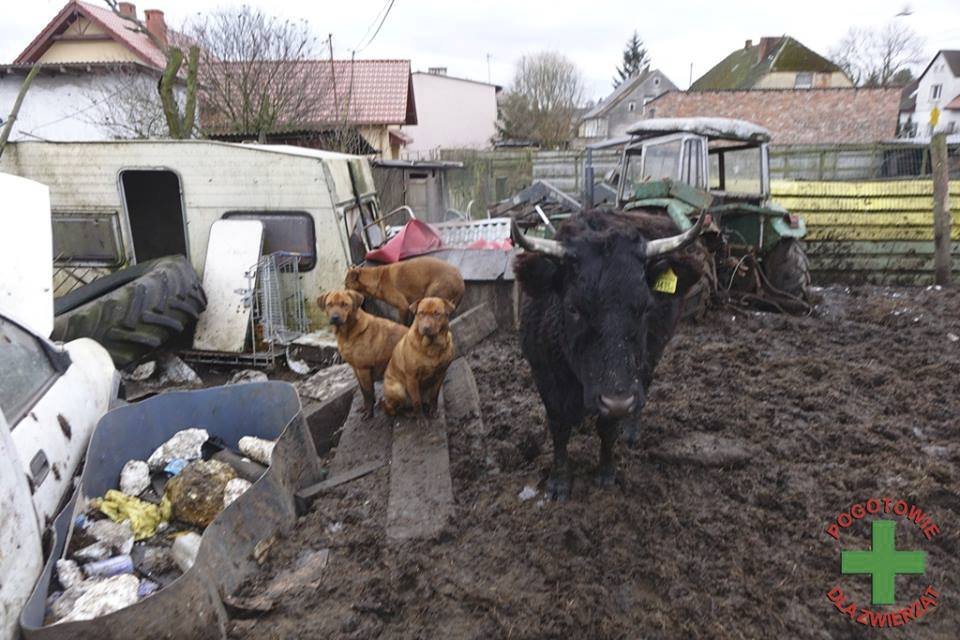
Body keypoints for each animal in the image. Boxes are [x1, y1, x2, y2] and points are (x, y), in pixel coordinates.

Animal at [316, 288, 404, 418]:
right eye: (329, 304)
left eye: (344, 304)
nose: (335, 317)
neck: (348, 333)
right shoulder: (355, 368)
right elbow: (363, 391)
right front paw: (366, 407)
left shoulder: (364, 369)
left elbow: (368, 393)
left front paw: (369, 413)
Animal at [512, 209, 708, 500]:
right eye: (573, 308)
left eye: (645, 306)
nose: (618, 402)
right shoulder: (543, 374)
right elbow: (559, 426)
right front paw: (559, 481)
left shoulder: (622, 386)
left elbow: (608, 428)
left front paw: (605, 472)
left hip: (651, 353)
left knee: (644, 383)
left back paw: (631, 431)